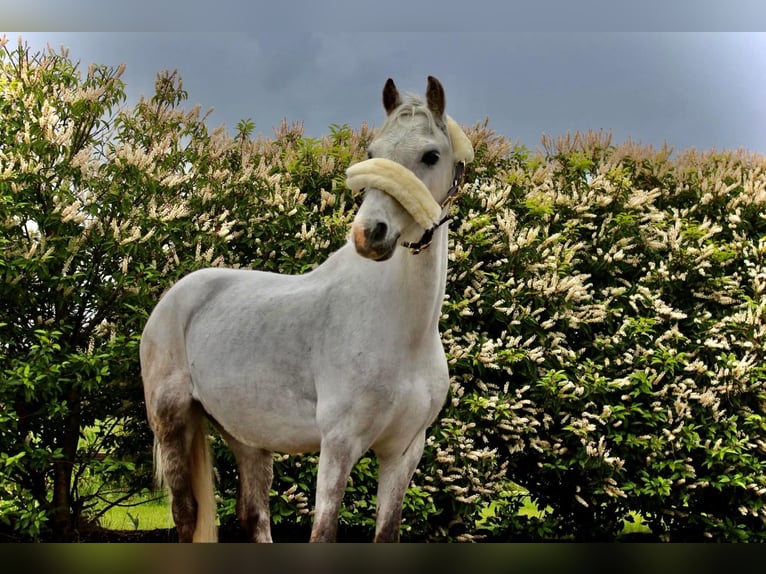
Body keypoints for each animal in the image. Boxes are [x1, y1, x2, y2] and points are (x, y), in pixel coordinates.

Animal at [140, 75, 474, 542]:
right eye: (372, 152)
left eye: (431, 155)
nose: (370, 234)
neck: (401, 333)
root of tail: (173, 299)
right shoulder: (339, 444)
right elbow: (324, 532)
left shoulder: (404, 451)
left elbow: (386, 533)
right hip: (172, 420)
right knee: (187, 515)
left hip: (247, 435)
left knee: (254, 514)